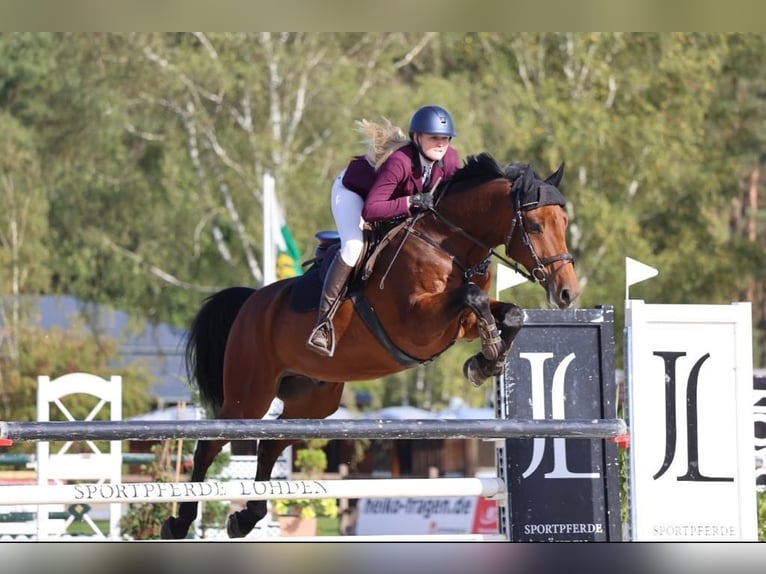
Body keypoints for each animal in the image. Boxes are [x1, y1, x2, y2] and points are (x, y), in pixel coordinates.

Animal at [162, 152, 584, 540]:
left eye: (564, 223)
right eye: (534, 224)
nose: (567, 293)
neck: (448, 244)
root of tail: (252, 301)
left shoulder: (458, 324)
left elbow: (510, 313)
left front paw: (485, 362)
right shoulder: (418, 325)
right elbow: (473, 298)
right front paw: (488, 357)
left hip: (313, 401)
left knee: (269, 446)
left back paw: (246, 517)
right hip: (250, 395)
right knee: (208, 446)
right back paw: (179, 521)